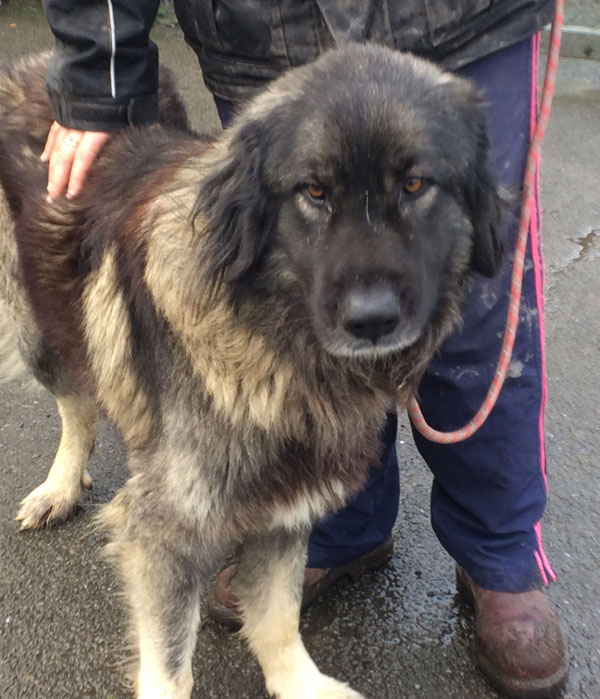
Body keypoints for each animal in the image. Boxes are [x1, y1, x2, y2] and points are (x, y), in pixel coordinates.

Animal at [0, 46, 504, 696]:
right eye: (313, 191)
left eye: (415, 184)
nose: (372, 320)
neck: (275, 343)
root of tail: (35, 62)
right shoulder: (165, 532)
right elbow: (170, 668)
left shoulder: (289, 501)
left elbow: (277, 617)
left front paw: (301, 684)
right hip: (33, 326)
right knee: (76, 404)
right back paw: (60, 486)